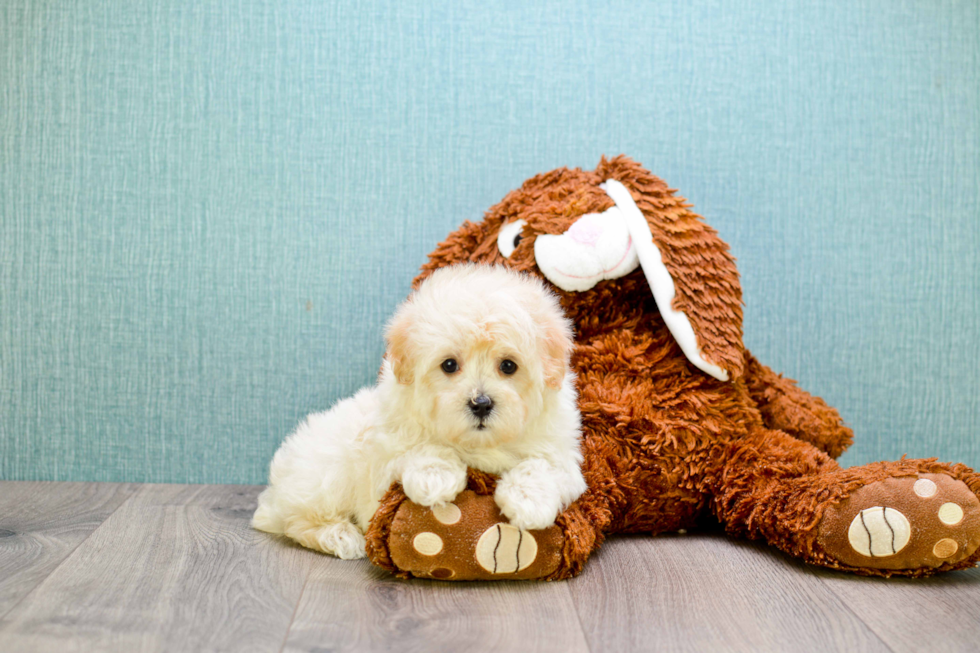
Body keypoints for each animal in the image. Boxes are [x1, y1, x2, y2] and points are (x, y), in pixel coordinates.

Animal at [256, 262, 584, 556]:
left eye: (508, 366)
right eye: (449, 365)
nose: (480, 404)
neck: (477, 444)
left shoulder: (562, 455)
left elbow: (540, 466)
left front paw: (528, 501)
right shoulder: (384, 453)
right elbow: (419, 448)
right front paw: (435, 478)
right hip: (327, 472)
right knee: (296, 522)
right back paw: (340, 536)